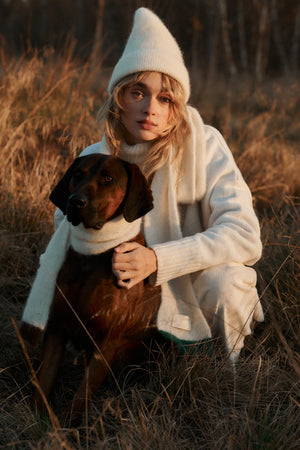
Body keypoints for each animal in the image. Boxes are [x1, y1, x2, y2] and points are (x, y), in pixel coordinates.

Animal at [20, 154, 162, 426]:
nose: (75, 201)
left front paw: (65, 428)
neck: (91, 257)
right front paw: (36, 421)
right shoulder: (56, 327)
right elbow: (44, 381)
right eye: (78, 173)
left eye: (108, 178)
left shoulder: (106, 342)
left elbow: (82, 394)